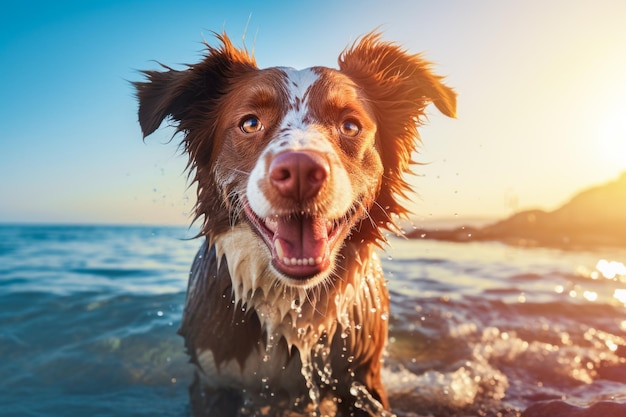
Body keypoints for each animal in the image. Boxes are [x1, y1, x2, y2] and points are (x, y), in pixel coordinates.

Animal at [134, 30, 454, 414]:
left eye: (350, 125)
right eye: (250, 123)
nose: (301, 171)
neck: (290, 302)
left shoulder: (363, 379)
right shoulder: (213, 381)